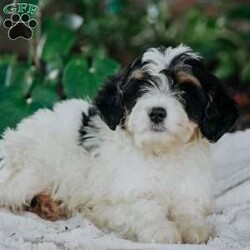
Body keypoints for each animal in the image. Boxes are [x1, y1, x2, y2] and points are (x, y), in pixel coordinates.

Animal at [0, 44, 238, 243]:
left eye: (186, 91)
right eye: (140, 89)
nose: (157, 112)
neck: (160, 152)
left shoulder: (190, 188)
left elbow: (189, 209)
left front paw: (194, 228)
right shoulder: (110, 203)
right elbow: (143, 209)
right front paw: (163, 231)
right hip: (30, 170)